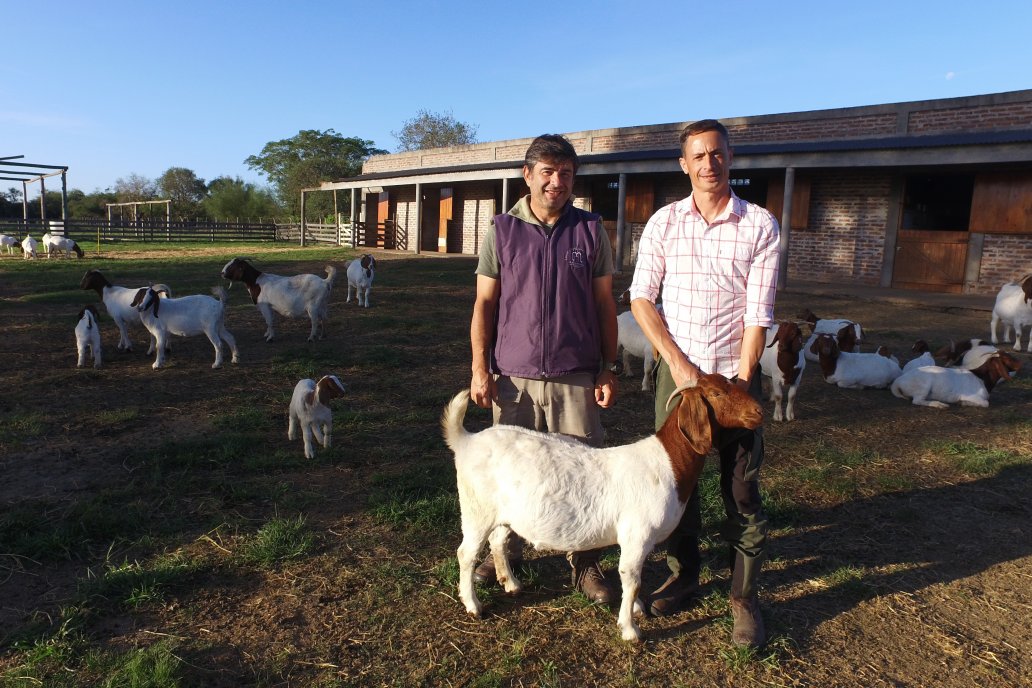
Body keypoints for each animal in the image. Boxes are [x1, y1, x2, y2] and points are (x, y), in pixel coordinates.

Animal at [439, 373, 763, 643]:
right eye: (716, 393)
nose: (759, 412)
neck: (668, 462)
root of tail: (466, 441)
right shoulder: (637, 535)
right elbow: (631, 579)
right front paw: (630, 630)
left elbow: (633, 580)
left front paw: (637, 610)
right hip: (476, 509)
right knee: (466, 553)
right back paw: (473, 605)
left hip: (504, 513)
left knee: (498, 541)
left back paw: (511, 583)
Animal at [891, 354, 1019, 408]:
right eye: (1007, 359)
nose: (1020, 363)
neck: (981, 378)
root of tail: (898, 381)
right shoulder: (971, 395)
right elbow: (986, 403)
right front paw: (964, 403)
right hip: (924, 386)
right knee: (917, 401)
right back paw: (939, 404)